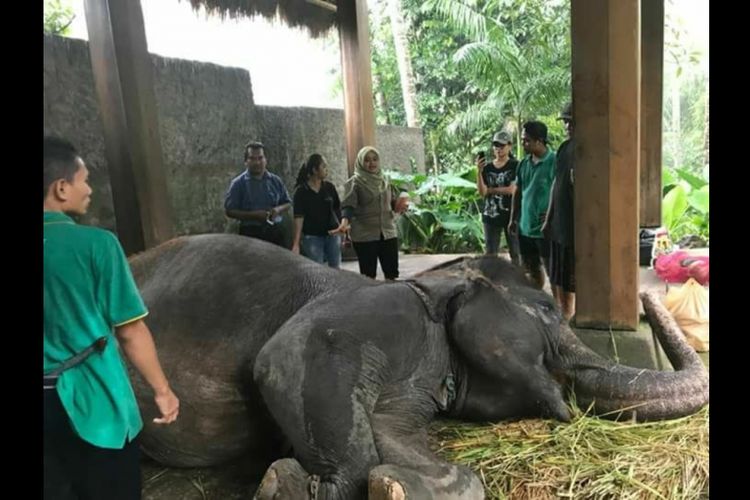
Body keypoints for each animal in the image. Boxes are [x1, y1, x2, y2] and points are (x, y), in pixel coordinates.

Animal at [129, 235, 712, 500]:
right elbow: (285, 355)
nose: (650, 293)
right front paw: (285, 485)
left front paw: (391, 485)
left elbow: (391, 433)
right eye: (548, 310)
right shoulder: (383, 312)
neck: (437, 278)